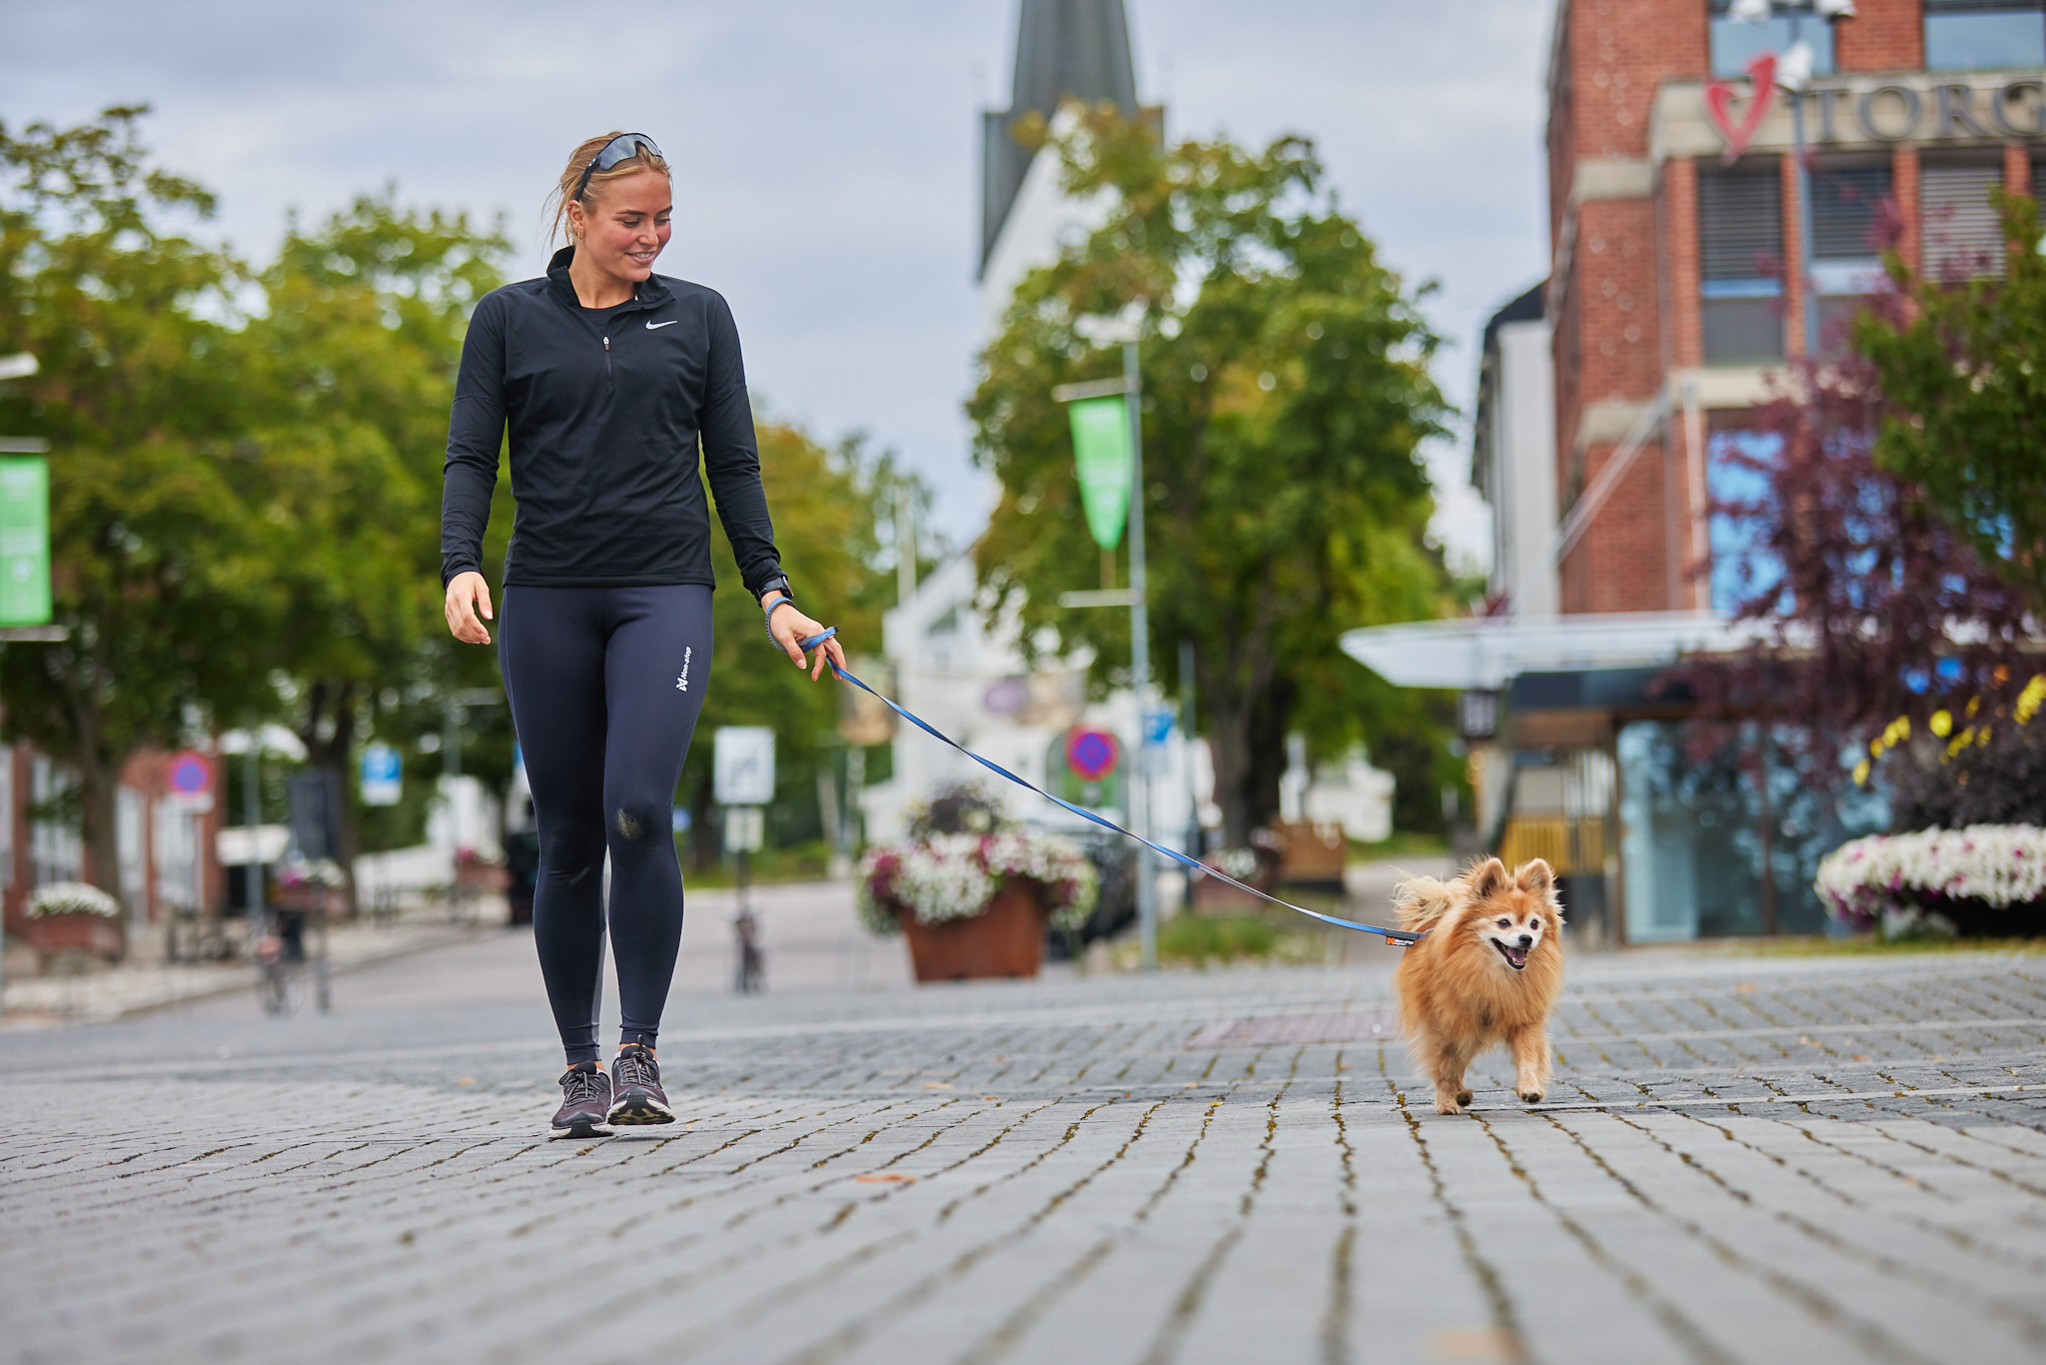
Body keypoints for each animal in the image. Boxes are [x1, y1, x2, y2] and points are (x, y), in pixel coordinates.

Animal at [1391, 859, 1563, 1113]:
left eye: (1534, 924)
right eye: (1503, 923)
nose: (1526, 938)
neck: (1494, 975)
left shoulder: (1523, 1017)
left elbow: (1528, 1055)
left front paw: (1530, 1088)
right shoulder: (1444, 1025)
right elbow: (1444, 1066)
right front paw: (1445, 1103)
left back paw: (1461, 1093)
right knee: (1454, 1062)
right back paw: (1457, 1094)